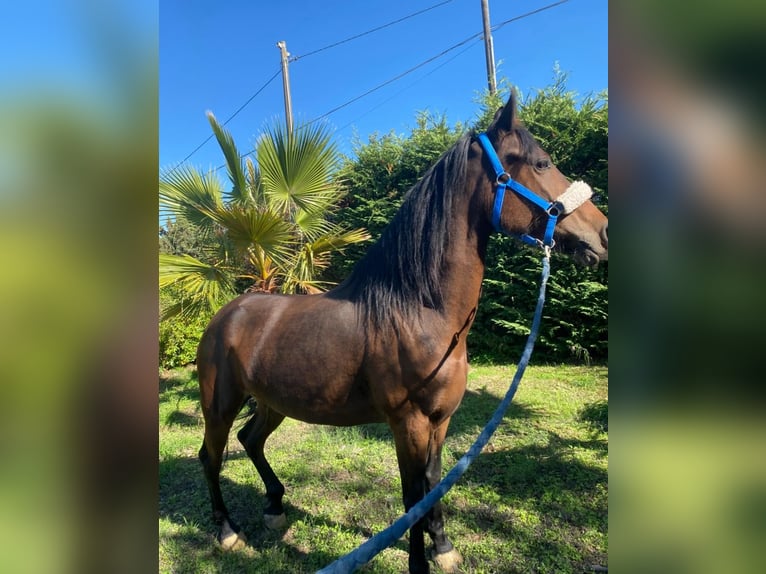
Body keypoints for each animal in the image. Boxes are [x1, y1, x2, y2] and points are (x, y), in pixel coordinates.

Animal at [196, 92, 608, 573]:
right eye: (542, 163)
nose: (601, 233)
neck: (419, 311)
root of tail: (226, 314)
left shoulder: (440, 420)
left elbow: (433, 482)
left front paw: (442, 545)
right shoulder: (407, 422)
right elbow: (412, 496)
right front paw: (419, 561)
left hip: (272, 401)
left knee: (250, 440)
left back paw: (275, 507)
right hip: (220, 404)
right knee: (211, 455)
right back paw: (227, 531)